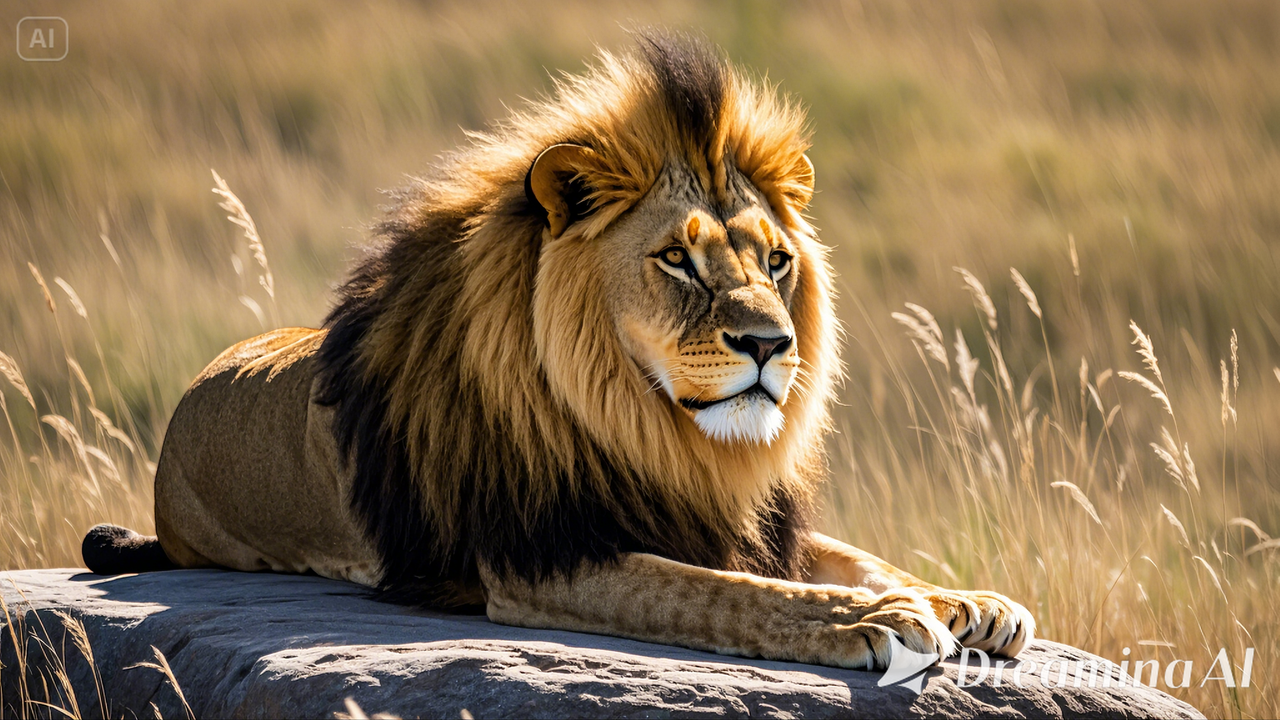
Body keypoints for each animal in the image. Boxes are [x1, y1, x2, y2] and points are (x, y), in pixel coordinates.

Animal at [83, 34, 1034, 671]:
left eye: (774, 261)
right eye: (677, 258)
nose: (771, 343)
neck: (656, 431)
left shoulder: (724, 515)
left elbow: (852, 555)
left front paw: (968, 599)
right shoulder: (539, 559)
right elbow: (722, 592)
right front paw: (871, 619)